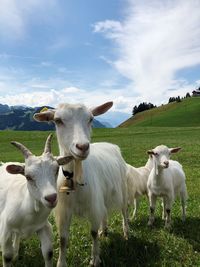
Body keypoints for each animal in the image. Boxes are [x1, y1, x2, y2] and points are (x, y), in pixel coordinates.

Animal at [0, 136, 73, 267]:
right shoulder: (5, 230)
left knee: (17, 235)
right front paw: (9, 257)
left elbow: (48, 253)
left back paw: (16, 253)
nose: (51, 197)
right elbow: (7, 256)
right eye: (28, 176)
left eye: (56, 170)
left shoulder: (44, 227)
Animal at [33, 102, 129, 267]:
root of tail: (110, 145)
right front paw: (61, 263)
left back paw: (126, 232)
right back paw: (105, 230)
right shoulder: (64, 210)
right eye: (58, 120)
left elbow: (93, 233)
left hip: (121, 188)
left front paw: (95, 259)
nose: (83, 147)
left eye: (91, 119)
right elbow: (63, 239)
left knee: (124, 210)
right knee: (104, 211)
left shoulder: (93, 205)